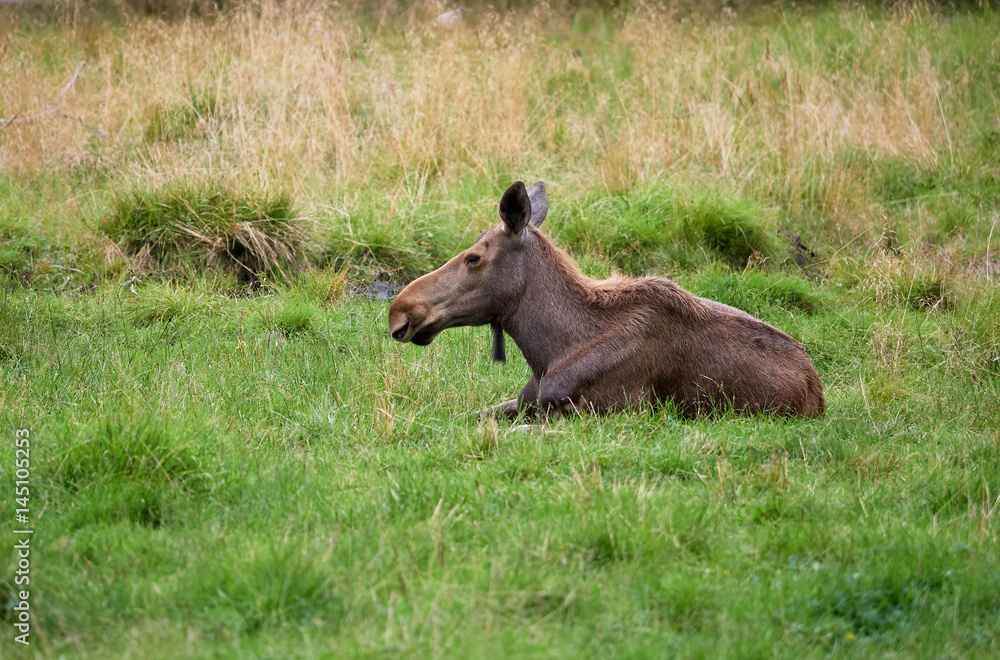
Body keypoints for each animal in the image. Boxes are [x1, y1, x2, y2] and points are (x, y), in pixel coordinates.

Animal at [388, 181, 825, 421]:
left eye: (474, 257)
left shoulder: (606, 413)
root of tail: (817, 392)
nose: (400, 310)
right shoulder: (525, 401)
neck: (547, 352)